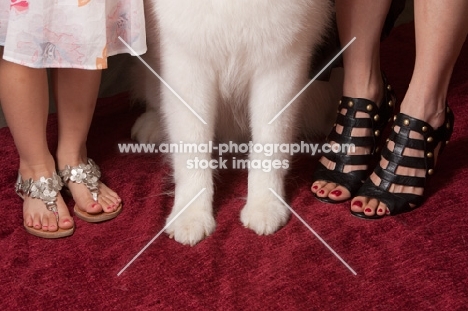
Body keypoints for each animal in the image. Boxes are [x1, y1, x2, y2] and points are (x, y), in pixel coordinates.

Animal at [132, 0, 340, 246]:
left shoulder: (279, 67)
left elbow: (271, 147)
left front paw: (265, 206)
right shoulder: (189, 69)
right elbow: (192, 153)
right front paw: (191, 216)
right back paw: (151, 125)